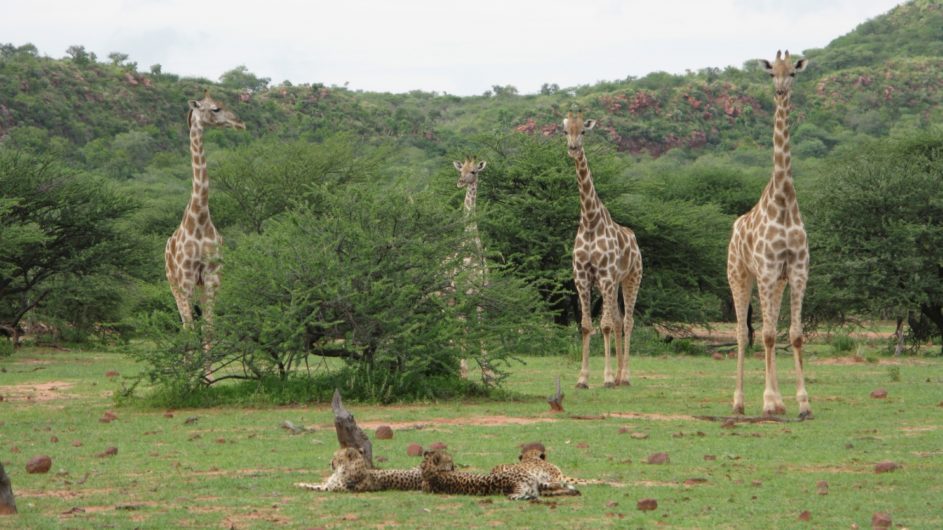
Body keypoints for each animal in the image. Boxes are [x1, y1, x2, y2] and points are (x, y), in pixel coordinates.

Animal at [166, 88, 247, 374]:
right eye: (215, 109)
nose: (240, 123)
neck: (200, 220)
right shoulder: (187, 279)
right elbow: (191, 329)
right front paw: (192, 377)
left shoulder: (212, 276)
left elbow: (210, 329)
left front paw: (209, 376)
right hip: (174, 284)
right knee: (184, 325)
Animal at [564, 110, 644, 388]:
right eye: (565, 131)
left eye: (583, 131)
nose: (573, 148)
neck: (590, 220)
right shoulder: (582, 276)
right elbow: (587, 325)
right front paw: (583, 378)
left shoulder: (607, 275)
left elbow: (606, 325)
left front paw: (607, 377)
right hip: (611, 283)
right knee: (620, 320)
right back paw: (620, 375)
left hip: (631, 278)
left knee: (628, 321)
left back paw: (625, 376)